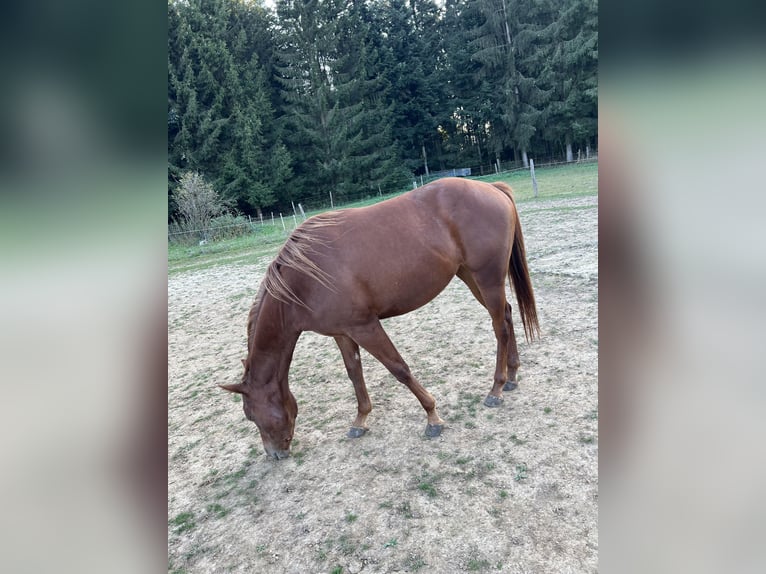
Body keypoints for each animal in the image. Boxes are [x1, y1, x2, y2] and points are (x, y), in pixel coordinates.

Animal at [222, 178, 540, 462]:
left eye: (251, 415)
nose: (274, 454)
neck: (304, 279)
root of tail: (492, 188)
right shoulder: (343, 332)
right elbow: (354, 373)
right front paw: (360, 421)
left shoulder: (366, 327)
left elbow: (398, 369)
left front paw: (432, 417)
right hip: (471, 277)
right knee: (507, 315)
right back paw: (512, 376)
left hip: (487, 278)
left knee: (499, 327)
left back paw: (496, 388)